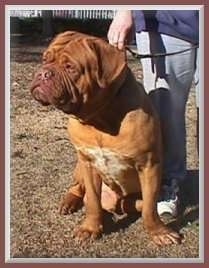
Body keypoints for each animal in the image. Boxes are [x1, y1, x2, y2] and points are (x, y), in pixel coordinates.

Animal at [30, 30, 181, 245]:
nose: (43, 73)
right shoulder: (88, 163)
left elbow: (150, 206)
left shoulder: (149, 165)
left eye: (70, 67)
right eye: (45, 59)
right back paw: (69, 202)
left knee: (137, 204)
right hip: (79, 167)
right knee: (78, 189)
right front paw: (90, 228)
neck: (99, 120)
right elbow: (93, 201)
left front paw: (158, 231)